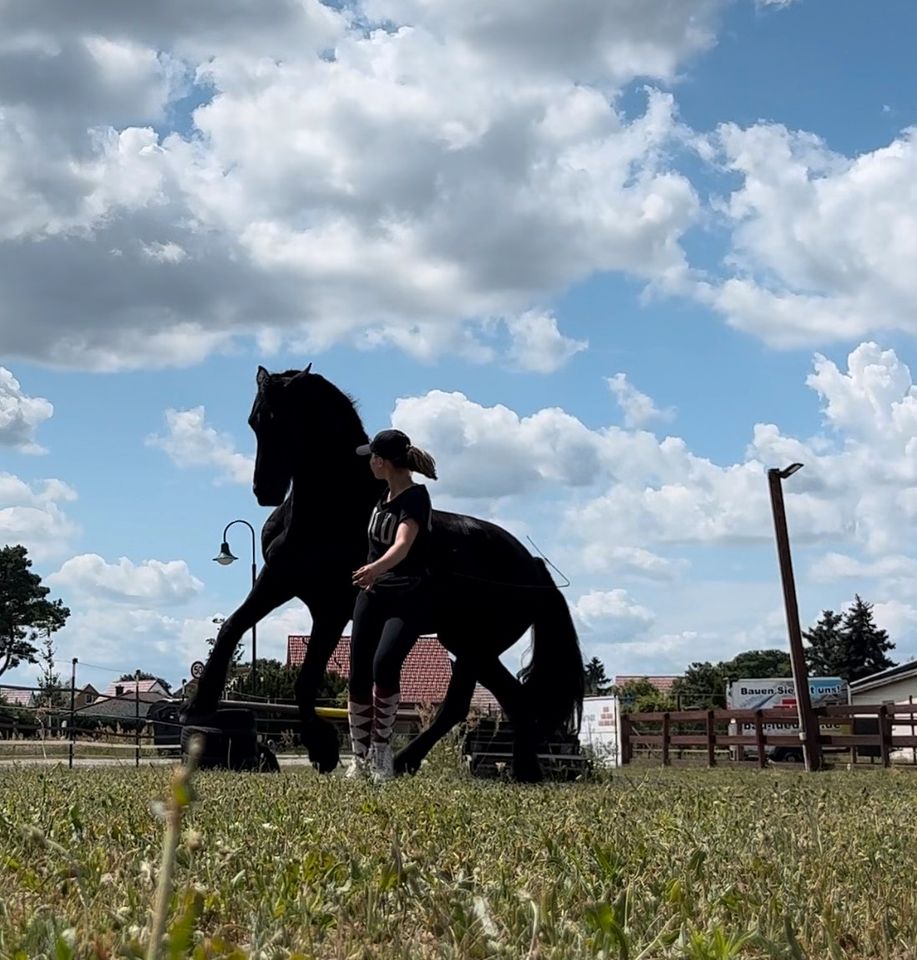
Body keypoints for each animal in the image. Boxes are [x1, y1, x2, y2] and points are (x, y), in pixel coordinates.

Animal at [186, 368, 584, 780]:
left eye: (287, 420)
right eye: (255, 421)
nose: (263, 491)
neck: (329, 513)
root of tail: (533, 568)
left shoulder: (331, 608)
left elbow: (306, 680)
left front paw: (322, 750)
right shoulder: (279, 580)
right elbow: (233, 626)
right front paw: (200, 705)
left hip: (475, 646)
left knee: (472, 704)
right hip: (466, 643)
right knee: (506, 700)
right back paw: (515, 770)